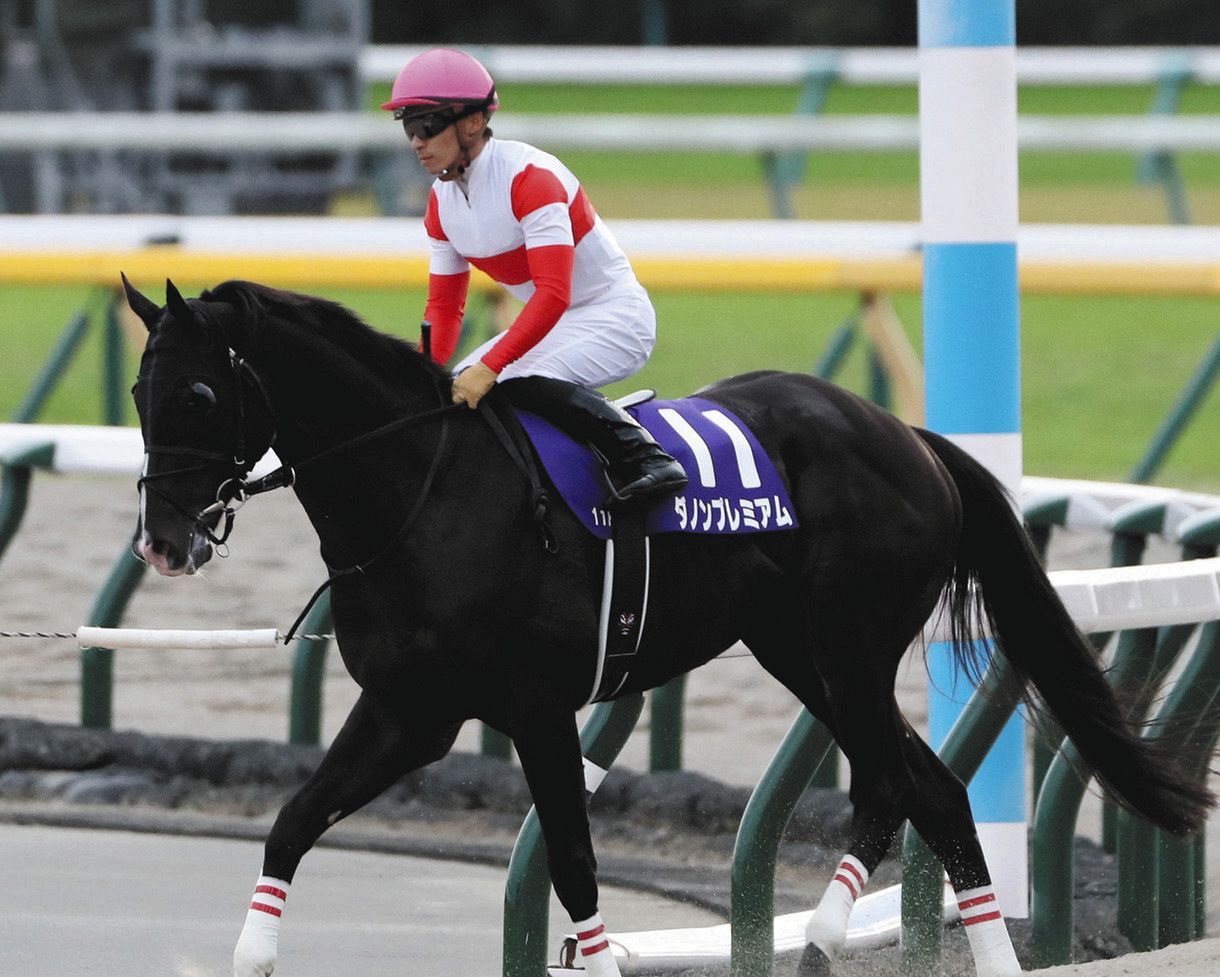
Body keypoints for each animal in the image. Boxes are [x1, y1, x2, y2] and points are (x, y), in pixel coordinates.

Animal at [123, 276, 1210, 975]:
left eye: (203, 392)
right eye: (139, 390)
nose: (165, 541)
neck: (422, 489)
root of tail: (907, 435)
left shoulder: (533, 706)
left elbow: (570, 863)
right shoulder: (409, 710)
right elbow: (292, 821)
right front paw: (252, 954)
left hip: (848, 644)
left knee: (902, 785)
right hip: (800, 650)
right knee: (922, 789)